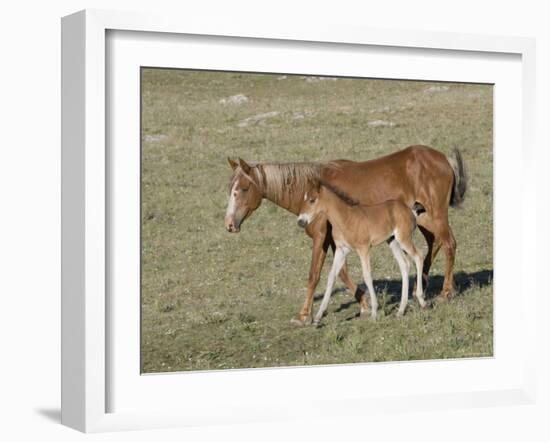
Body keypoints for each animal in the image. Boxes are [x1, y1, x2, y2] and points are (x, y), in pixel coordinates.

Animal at [300, 180, 430, 324]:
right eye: (304, 198)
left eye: (312, 200)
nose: (301, 221)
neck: (345, 218)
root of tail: (410, 210)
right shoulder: (341, 250)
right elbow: (331, 277)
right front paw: (318, 316)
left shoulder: (363, 249)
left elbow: (367, 276)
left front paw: (374, 313)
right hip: (393, 242)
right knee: (404, 265)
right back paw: (401, 310)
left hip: (404, 239)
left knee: (418, 256)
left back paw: (421, 301)